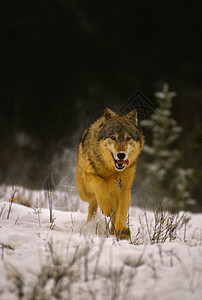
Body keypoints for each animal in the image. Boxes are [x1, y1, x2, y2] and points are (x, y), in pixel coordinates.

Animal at [76, 108, 144, 239]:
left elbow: (122, 213)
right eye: (113, 137)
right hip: (84, 193)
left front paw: (121, 231)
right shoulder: (90, 176)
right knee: (93, 201)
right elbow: (100, 184)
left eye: (128, 138)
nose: (121, 155)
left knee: (114, 212)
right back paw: (92, 221)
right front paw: (106, 207)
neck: (110, 169)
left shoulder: (123, 188)